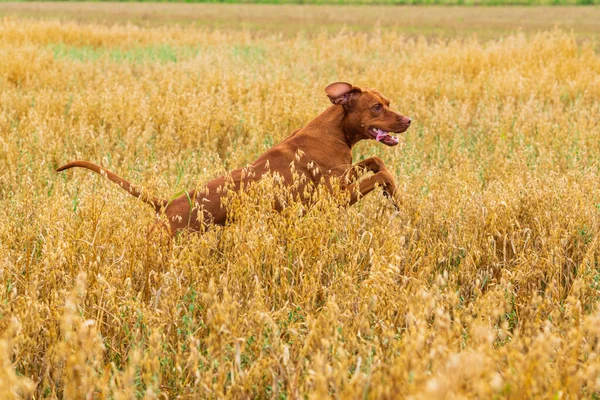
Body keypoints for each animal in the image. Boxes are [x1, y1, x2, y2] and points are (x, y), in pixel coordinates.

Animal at [56, 83, 410, 236]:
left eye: (388, 102)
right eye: (376, 107)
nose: (408, 120)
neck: (333, 131)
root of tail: (166, 204)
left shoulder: (344, 176)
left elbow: (376, 161)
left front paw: (396, 199)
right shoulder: (334, 198)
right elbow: (381, 172)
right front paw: (398, 200)